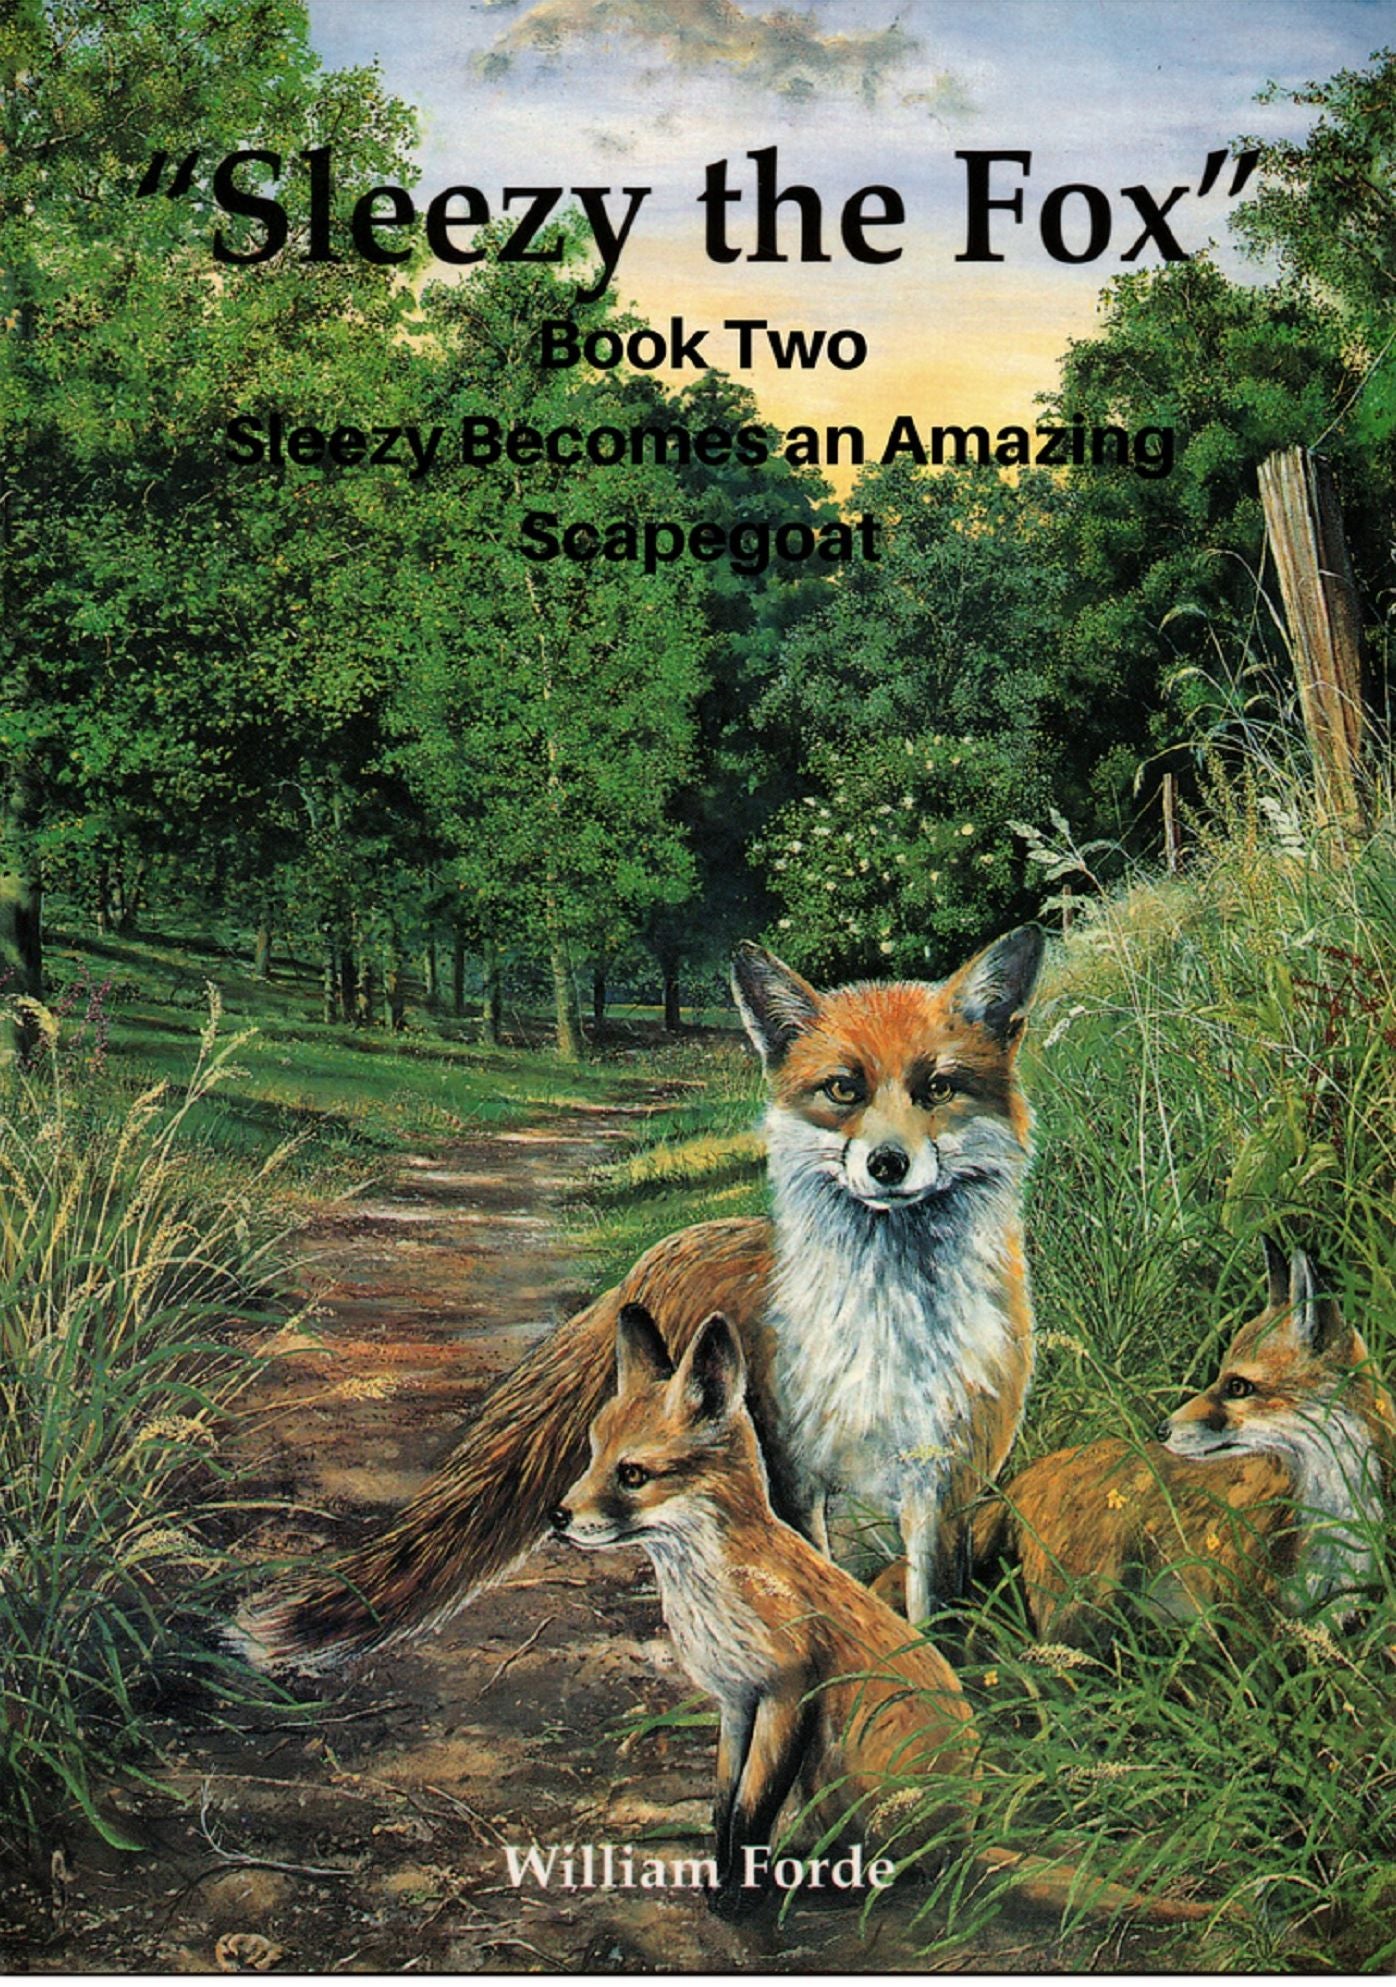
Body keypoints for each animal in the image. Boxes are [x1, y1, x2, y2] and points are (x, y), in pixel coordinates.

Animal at [240, 924, 1044, 1666]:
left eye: (938, 1087)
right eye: (844, 1088)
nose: (887, 1164)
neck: (886, 1323)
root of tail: (662, 1250)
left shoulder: (948, 1483)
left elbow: (932, 1614)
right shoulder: (793, 1476)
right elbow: (813, 1585)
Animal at [976, 1242, 1394, 1640]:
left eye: (1238, 1386)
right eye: (1224, 1377)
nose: (1161, 1430)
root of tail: (1022, 1479)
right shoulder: (1243, 1622)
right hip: (1080, 1616)